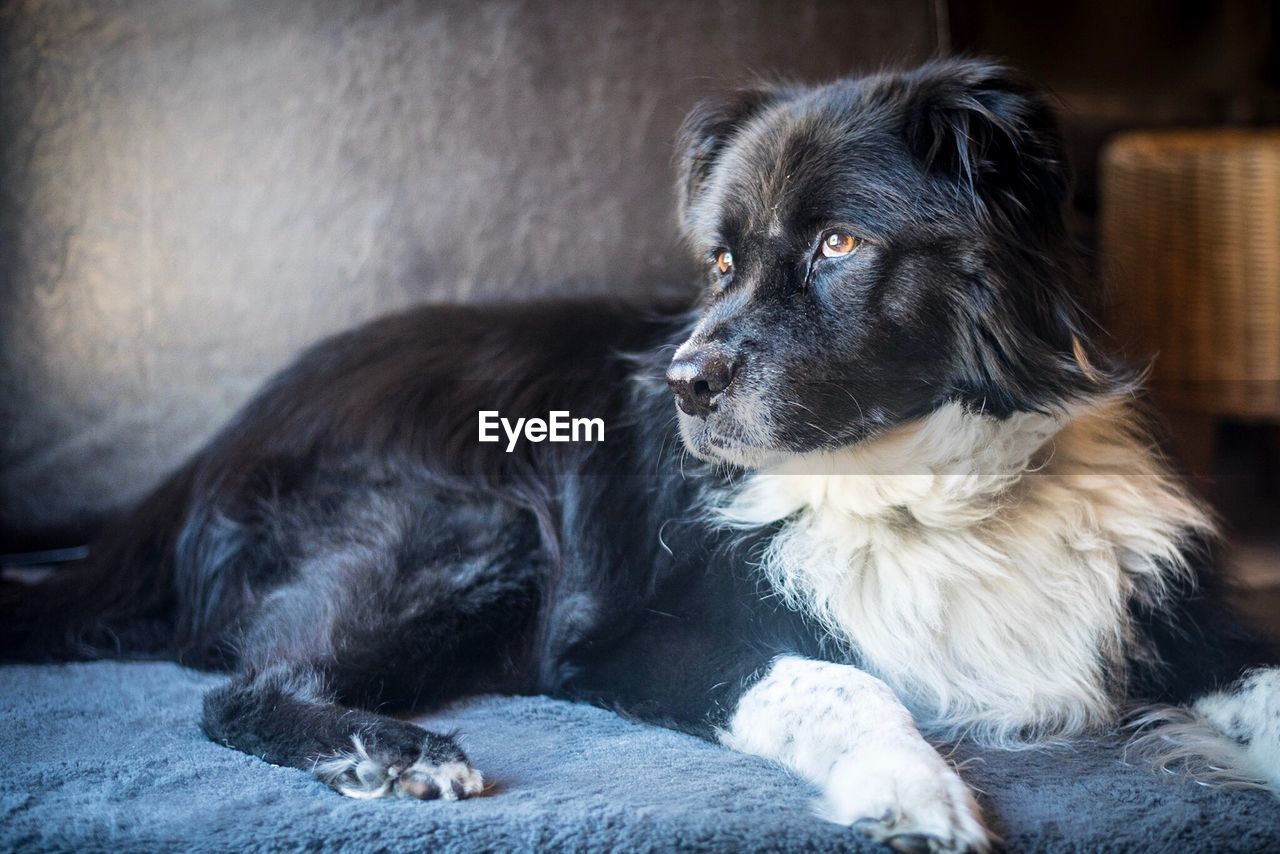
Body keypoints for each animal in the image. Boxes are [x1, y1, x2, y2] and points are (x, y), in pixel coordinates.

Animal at [5, 58, 1274, 850]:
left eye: (836, 243)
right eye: (718, 262)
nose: (682, 384)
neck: (915, 489)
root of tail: (196, 458)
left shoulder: (1172, 614)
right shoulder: (617, 634)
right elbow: (834, 673)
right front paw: (908, 786)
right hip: (469, 517)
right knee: (239, 691)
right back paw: (390, 750)